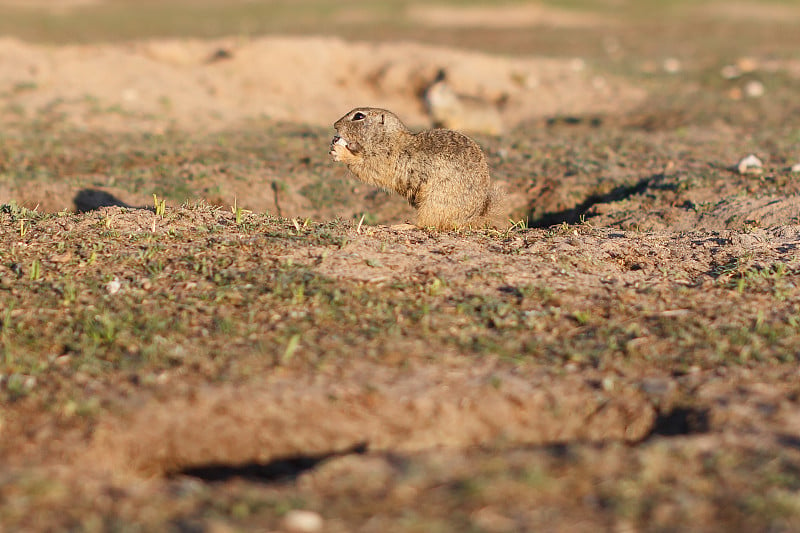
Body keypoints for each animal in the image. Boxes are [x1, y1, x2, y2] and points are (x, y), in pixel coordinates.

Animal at [326, 106, 504, 229]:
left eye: (359, 116)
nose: (335, 125)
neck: (386, 137)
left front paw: (340, 151)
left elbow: (366, 167)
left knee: (425, 225)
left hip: (433, 203)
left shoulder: (382, 158)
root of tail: (471, 218)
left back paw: (402, 225)